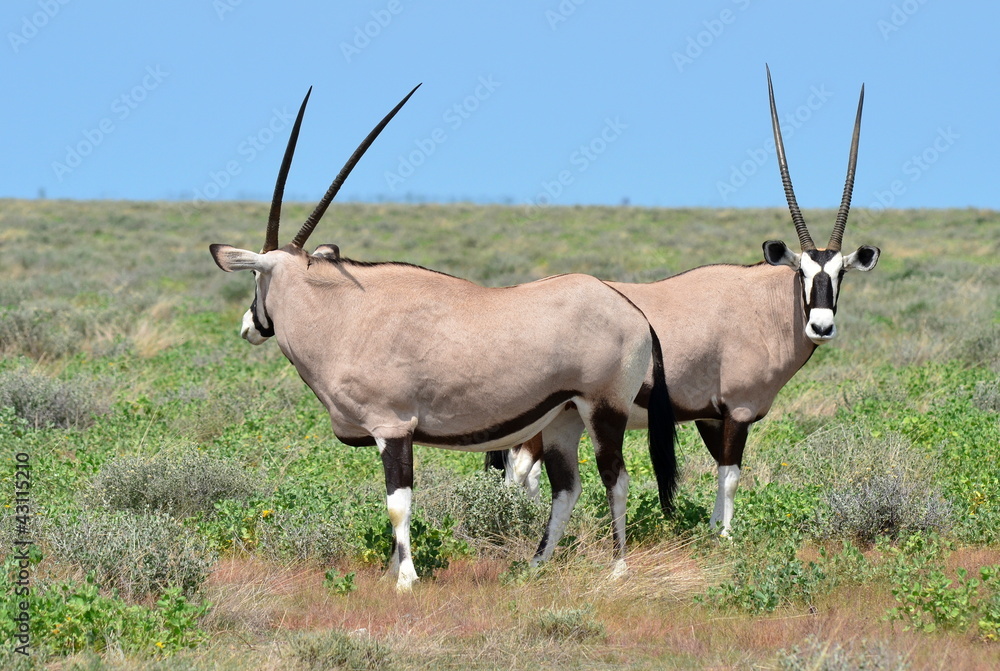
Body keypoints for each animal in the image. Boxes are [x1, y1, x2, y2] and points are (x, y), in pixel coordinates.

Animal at [210, 86, 680, 592]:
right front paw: (391, 572)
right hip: (563, 418)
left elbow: (398, 504)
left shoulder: (393, 428)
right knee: (566, 488)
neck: (342, 314)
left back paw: (617, 568)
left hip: (603, 410)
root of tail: (634, 313)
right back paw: (534, 565)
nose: (249, 326)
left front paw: (405, 580)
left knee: (615, 479)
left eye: (254, 277)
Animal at [488, 64, 880, 536]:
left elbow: (719, 475)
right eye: (801, 272)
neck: (763, 308)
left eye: (840, 273)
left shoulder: (710, 416)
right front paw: (726, 537)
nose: (821, 326)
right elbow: (731, 476)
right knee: (519, 470)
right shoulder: (737, 411)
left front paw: (712, 530)